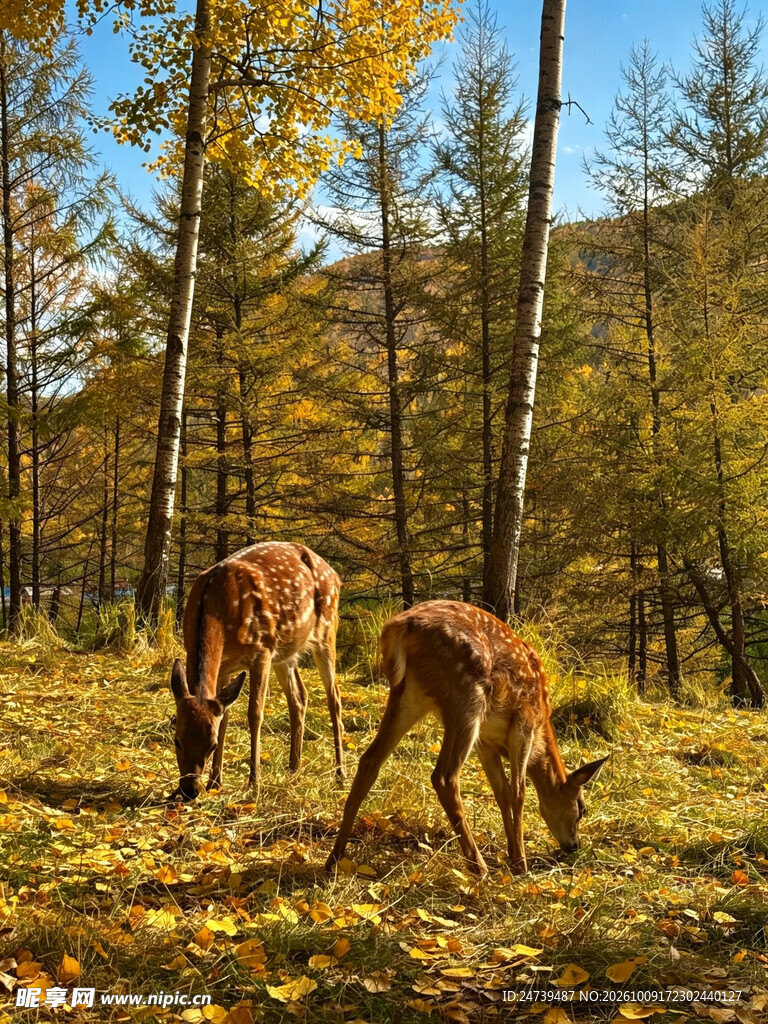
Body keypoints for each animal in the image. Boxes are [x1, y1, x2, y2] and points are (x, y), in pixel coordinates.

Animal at [170, 541, 344, 801]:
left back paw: (340, 775)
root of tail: (335, 575)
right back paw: (294, 768)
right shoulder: (225, 665)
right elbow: (225, 717)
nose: (189, 790)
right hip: (285, 651)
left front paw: (254, 784)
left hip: (325, 630)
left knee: (334, 698)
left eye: (211, 745)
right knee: (299, 696)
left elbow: (254, 714)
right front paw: (215, 782)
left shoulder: (261, 650)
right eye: (177, 740)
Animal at [326, 600, 607, 875]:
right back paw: (478, 866)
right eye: (581, 808)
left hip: (410, 695)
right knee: (444, 776)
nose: (574, 846)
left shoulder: (485, 744)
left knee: (369, 760)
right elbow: (518, 792)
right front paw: (521, 864)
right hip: (466, 694)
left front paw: (511, 853)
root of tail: (400, 626)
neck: (542, 730)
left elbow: (501, 792)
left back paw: (334, 858)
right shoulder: (524, 725)